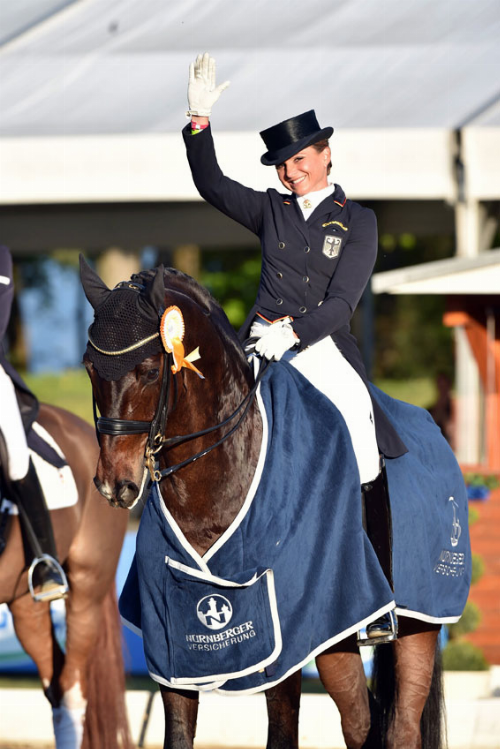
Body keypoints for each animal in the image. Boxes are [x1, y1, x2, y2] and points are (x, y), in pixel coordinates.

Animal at [82, 262, 446, 748]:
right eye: (89, 367)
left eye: (149, 369)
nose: (114, 485)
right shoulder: (172, 650)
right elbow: (177, 734)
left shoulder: (284, 647)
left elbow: (282, 733)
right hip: (335, 638)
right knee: (361, 720)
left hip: (416, 626)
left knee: (401, 726)